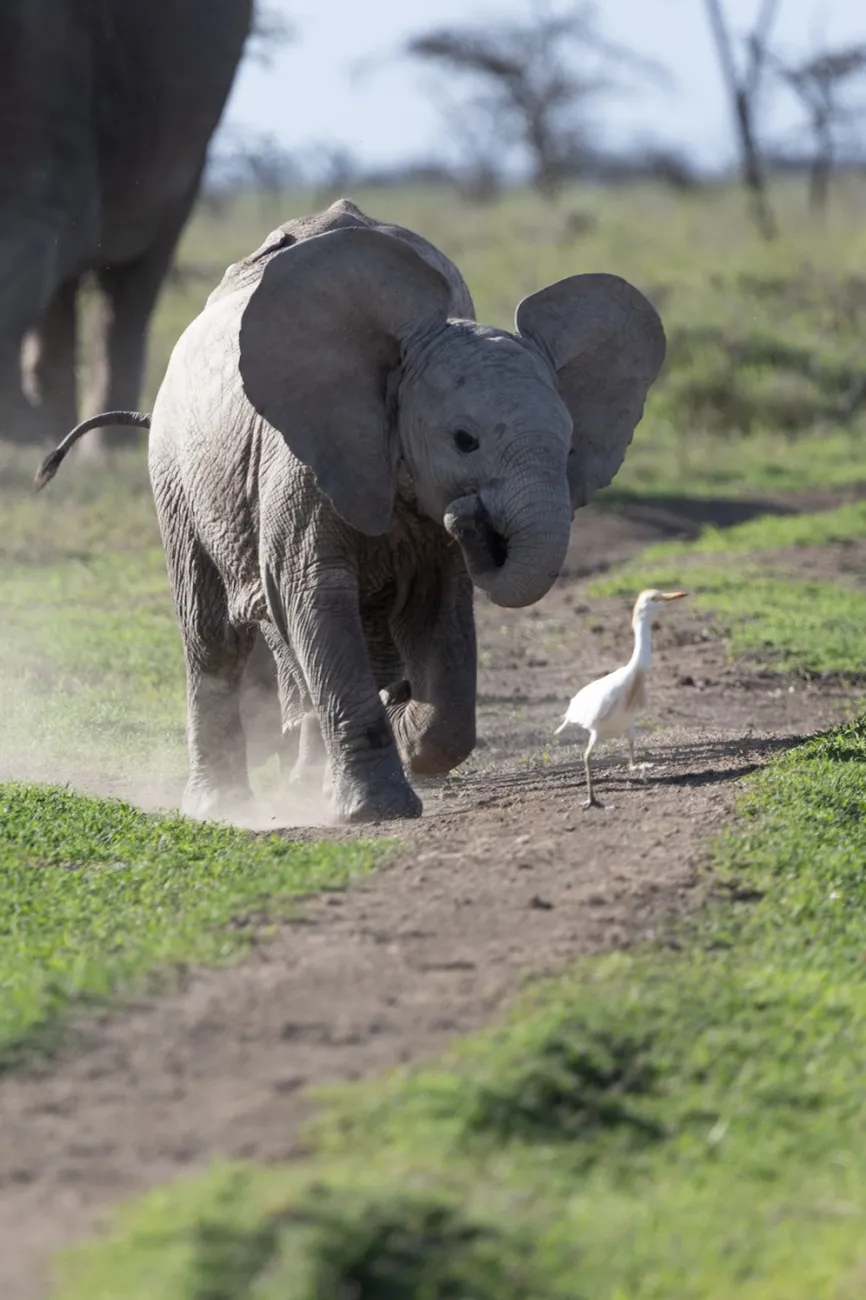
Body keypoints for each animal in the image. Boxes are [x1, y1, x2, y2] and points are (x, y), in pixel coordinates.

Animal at [35, 198, 666, 825]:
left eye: (569, 446)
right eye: (464, 441)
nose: (468, 518)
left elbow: (439, 620)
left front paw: (406, 733)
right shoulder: (299, 460)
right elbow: (311, 596)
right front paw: (375, 810)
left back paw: (315, 773)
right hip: (175, 473)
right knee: (213, 634)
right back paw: (223, 805)